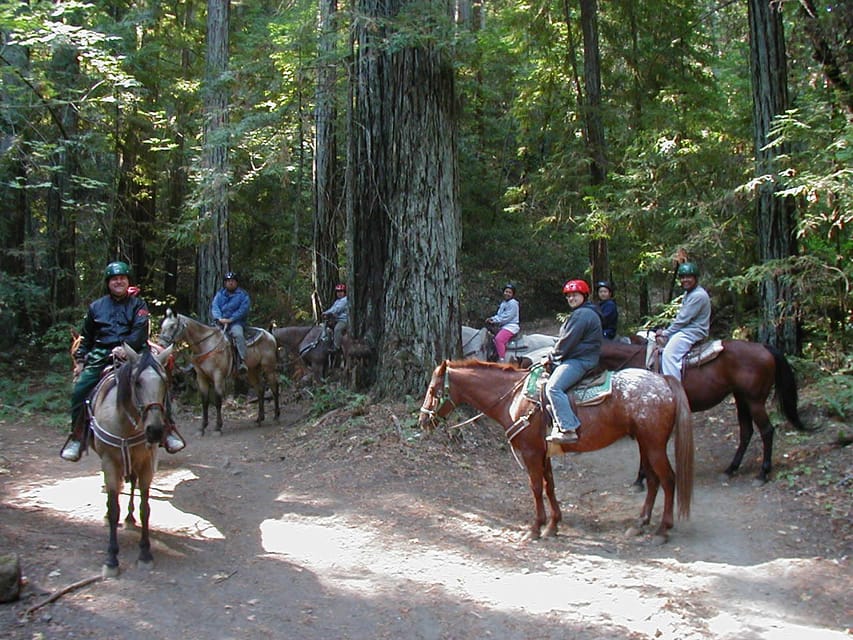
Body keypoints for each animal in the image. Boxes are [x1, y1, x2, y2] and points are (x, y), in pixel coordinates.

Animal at [88, 344, 173, 576]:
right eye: (137, 382)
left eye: (164, 382)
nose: (155, 431)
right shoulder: (109, 462)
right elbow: (113, 507)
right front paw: (111, 559)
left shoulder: (145, 463)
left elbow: (145, 508)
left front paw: (145, 553)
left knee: (132, 484)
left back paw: (129, 519)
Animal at [157, 308, 280, 436]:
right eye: (162, 326)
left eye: (172, 326)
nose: (161, 344)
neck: (205, 344)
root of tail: (269, 334)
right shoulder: (201, 378)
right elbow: (205, 402)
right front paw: (202, 427)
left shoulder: (218, 376)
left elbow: (217, 401)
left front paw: (218, 427)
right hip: (252, 371)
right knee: (260, 389)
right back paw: (259, 418)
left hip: (269, 368)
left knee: (274, 387)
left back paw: (276, 417)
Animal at [420, 362, 692, 544]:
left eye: (433, 390)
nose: (423, 420)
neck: (514, 398)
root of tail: (663, 381)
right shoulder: (544, 453)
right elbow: (549, 485)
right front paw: (553, 525)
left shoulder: (531, 453)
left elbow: (535, 488)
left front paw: (535, 528)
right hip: (645, 444)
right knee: (654, 480)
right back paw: (640, 524)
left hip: (654, 445)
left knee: (668, 479)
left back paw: (662, 530)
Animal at [600, 340, 804, 480]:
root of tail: (764, 347)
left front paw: (641, 478)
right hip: (742, 399)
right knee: (746, 431)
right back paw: (731, 469)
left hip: (755, 401)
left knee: (766, 430)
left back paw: (763, 473)